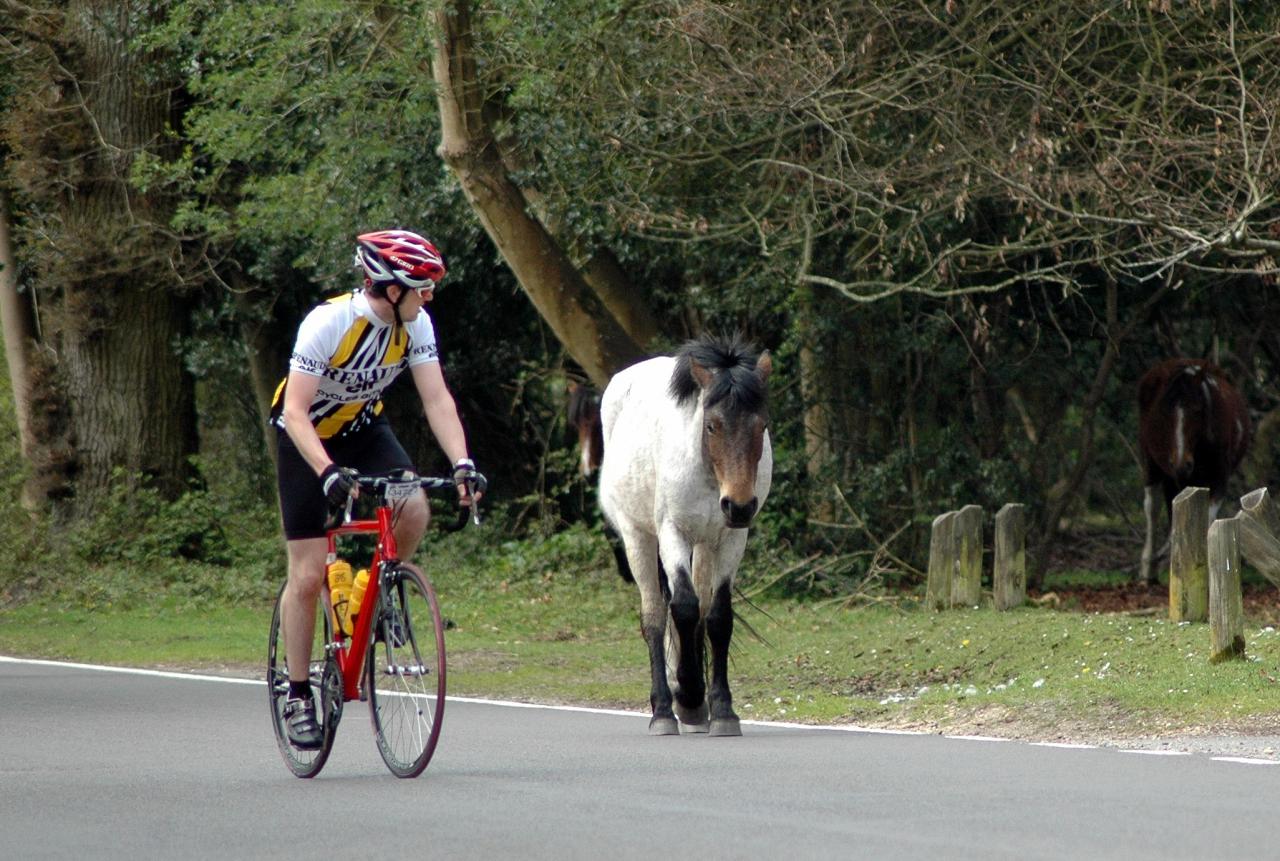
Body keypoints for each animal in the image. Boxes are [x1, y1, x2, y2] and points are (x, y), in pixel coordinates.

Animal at [596, 332, 768, 736]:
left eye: (762, 425)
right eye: (712, 425)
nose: (739, 506)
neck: (708, 471)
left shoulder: (731, 539)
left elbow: (717, 617)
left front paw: (721, 710)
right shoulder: (673, 534)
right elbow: (684, 609)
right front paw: (687, 695)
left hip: (704, 545)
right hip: (640, 540)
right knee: (655, 617)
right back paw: (663, 709)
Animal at [1141, 355, 1249, 583]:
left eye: (1197, 410)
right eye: (1166, 412)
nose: (1182, 463)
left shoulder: (1219, 477)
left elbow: (1206, 518)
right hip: (1152, 463)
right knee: (1151, 506)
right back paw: (1148, 568)